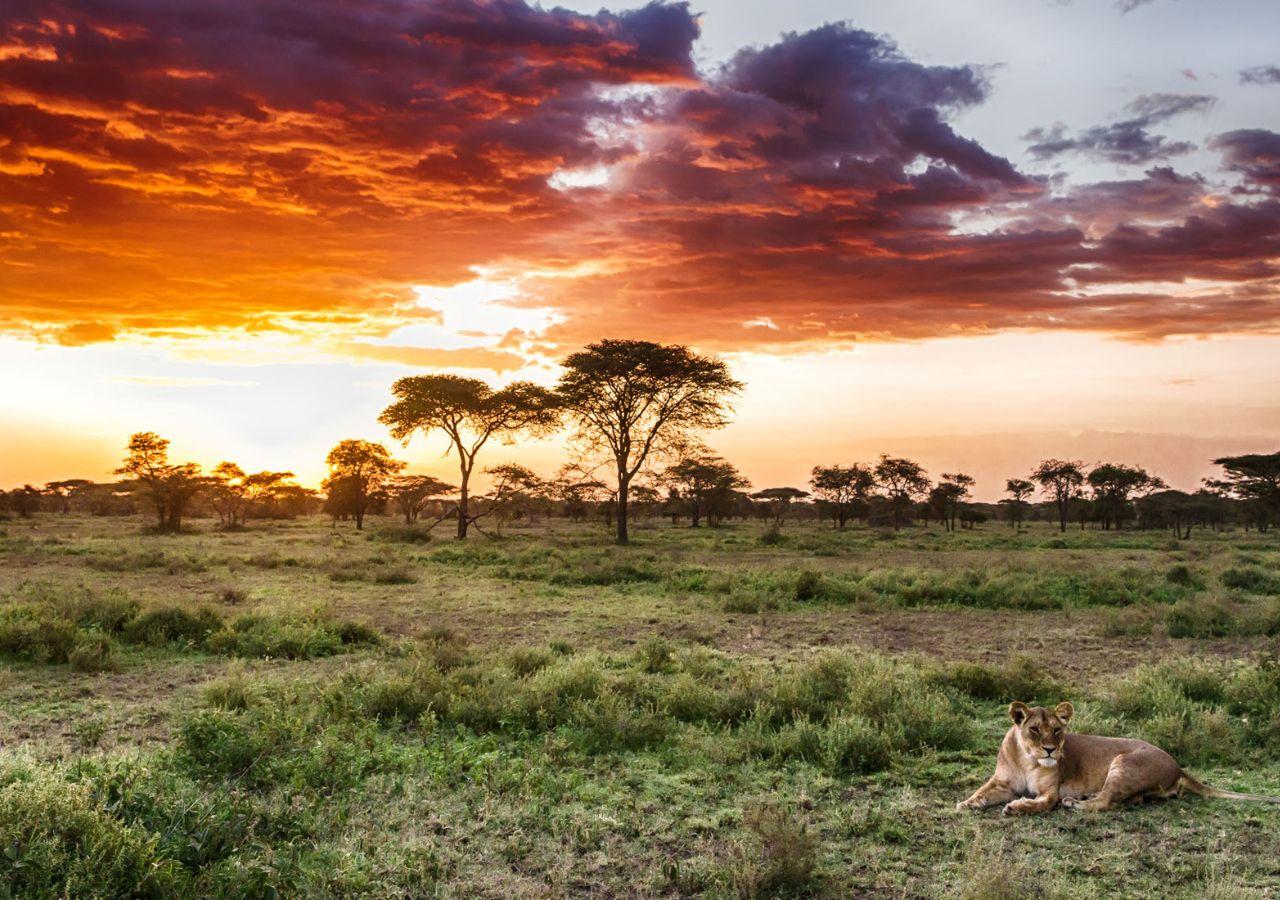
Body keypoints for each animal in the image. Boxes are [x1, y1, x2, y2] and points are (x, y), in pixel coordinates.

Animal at [957, 701, 1280, 815]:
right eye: (1034, 729)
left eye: (1058, 731)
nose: (1050, 750)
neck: (1028, 759)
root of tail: (1178, 766)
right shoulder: (1002, 782)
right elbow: (982, 792)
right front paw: (967, 803)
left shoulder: (1050, 792)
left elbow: (1040, 803)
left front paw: (1017, 807)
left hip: (1123, 764)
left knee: (1104, 803)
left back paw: (1076, 803)